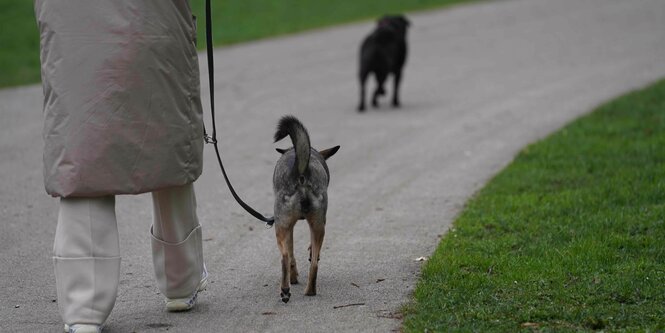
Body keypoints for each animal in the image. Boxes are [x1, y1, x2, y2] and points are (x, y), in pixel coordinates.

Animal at [272, 115, 340, 302]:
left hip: (280, 227)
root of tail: (301, 172)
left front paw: (293, 277)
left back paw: (285, 290)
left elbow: (291, 254)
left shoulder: (288, 228)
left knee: (284, 257)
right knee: (315, 264)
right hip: (318, 226)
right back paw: (310, 291)